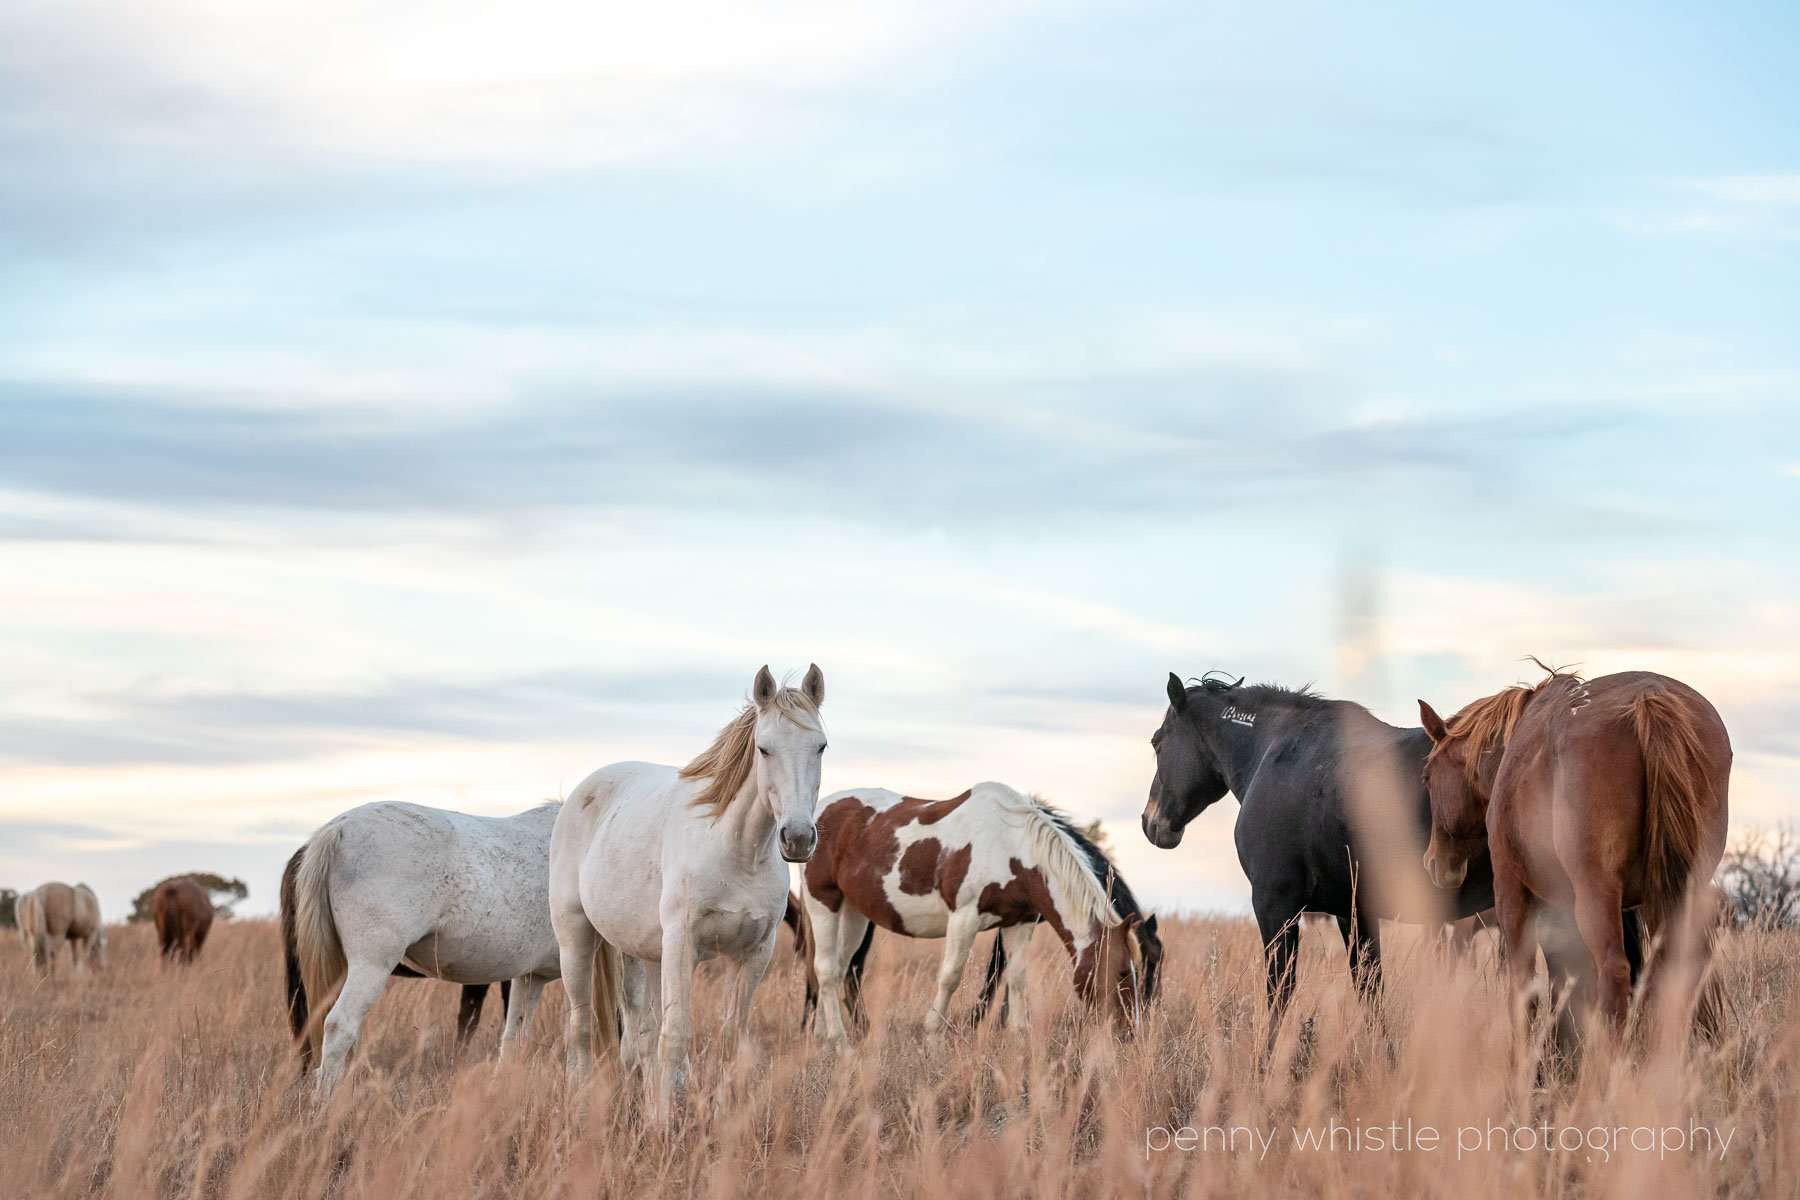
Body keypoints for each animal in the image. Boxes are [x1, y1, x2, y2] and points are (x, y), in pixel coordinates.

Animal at [810, 780, 1144, 1043]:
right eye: (1123, 972)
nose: (1130, 1032)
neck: (1013, 847)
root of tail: (820, 810)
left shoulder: (1020, 922)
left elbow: (1017, 978)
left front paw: (1018, 1037)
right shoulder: (964, 918)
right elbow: (950, 976)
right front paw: (933, 1038)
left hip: (854, 914)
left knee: (838, 968)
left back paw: (823, 1038)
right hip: (823, 903)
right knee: (825, 970)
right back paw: (839, 1043)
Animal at [1144, 676, 1497, 1043]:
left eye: (1157, 742)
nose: (1149, 821)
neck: (1273, 752)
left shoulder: (1274, 904)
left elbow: (1279, 993)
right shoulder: (1353, 911)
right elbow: (1370, 991)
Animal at [1418, 665, 1728, 1043]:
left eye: (1427, 777)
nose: (1434, 862)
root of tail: (1649, 697)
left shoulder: (1513, 891)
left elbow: (1525, 990)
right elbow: (1569, 985)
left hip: (1596, 895)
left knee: (1615, 970)